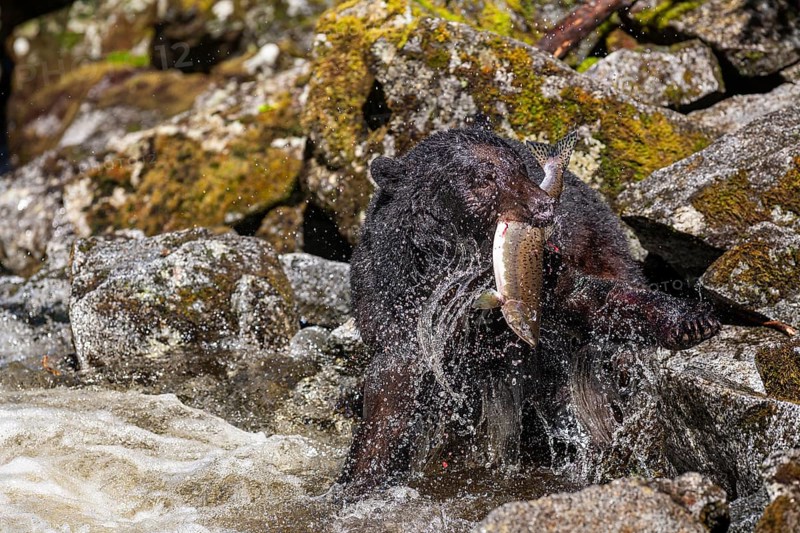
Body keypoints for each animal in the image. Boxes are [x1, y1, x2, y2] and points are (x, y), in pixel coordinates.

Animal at [340, 123, 721, 497]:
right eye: (484, 177)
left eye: (520, 169)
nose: (544, 207)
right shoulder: (397, 301)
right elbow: (391, 391)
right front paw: (359, 480)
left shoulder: (549, 282)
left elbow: (594, 300)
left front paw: (691, 321)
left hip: (602, 247)